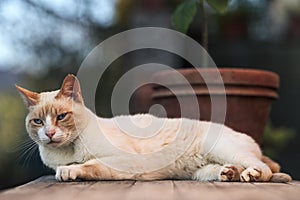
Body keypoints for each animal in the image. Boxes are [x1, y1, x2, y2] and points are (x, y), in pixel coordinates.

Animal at [15, 74, 292, 182]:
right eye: (38, 122)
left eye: (61, 117)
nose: (49, 134)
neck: (67, 152)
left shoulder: (124, 161)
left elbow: (90, 165)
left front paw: (69, 171)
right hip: (201, 170)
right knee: (228, 170)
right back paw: (231, 173)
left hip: (223, 149)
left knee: (265, 169)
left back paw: (250, 175)